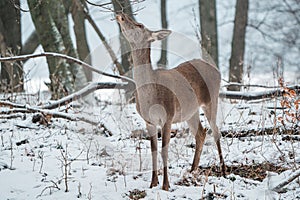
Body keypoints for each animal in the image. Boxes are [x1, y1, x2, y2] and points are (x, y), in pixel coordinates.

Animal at [116, 12, 226, 191]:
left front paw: (165, 185)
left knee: (216, 131)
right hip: (191, 111)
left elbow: (164, 151)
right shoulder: (149, 121)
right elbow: (153, 150)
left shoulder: (168, 116)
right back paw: (192, 170)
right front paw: (153, 182)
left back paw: (223, 170)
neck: (150, 97)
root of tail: (217, 71)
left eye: (140, 25)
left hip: (212, 99)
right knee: (201, 133)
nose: (121, 15)